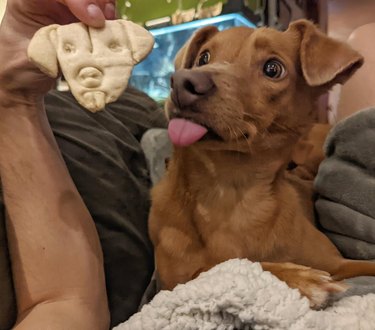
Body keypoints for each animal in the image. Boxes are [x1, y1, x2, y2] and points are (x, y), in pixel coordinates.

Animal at [148, 19, 375, 306]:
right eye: (203, 58)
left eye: (273, 68)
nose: (181, 82)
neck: (231, 192)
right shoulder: (169, 286)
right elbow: (218, 267)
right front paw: (299, 278)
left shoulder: (341, 263)